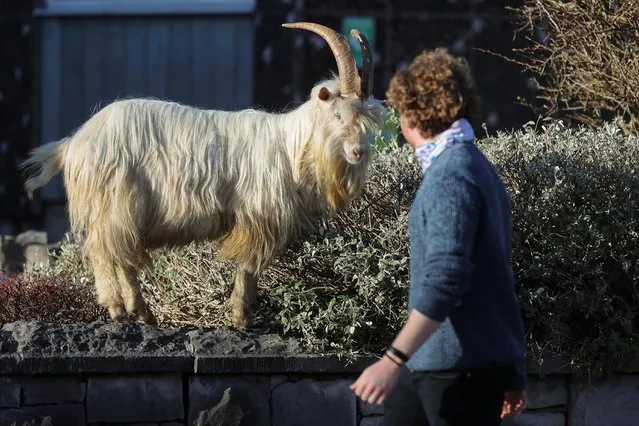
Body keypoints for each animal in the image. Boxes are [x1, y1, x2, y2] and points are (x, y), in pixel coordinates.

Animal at [20, 22, 382, 330]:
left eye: (365, 120)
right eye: (337, 115)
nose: (357, 152)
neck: (289, 148)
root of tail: (74, 142)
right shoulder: (256, 216)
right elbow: (247, 269)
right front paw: (241, 319)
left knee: (121, 256)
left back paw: (142, 313)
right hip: (115, 200)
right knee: (105, 252)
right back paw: (120, 310)